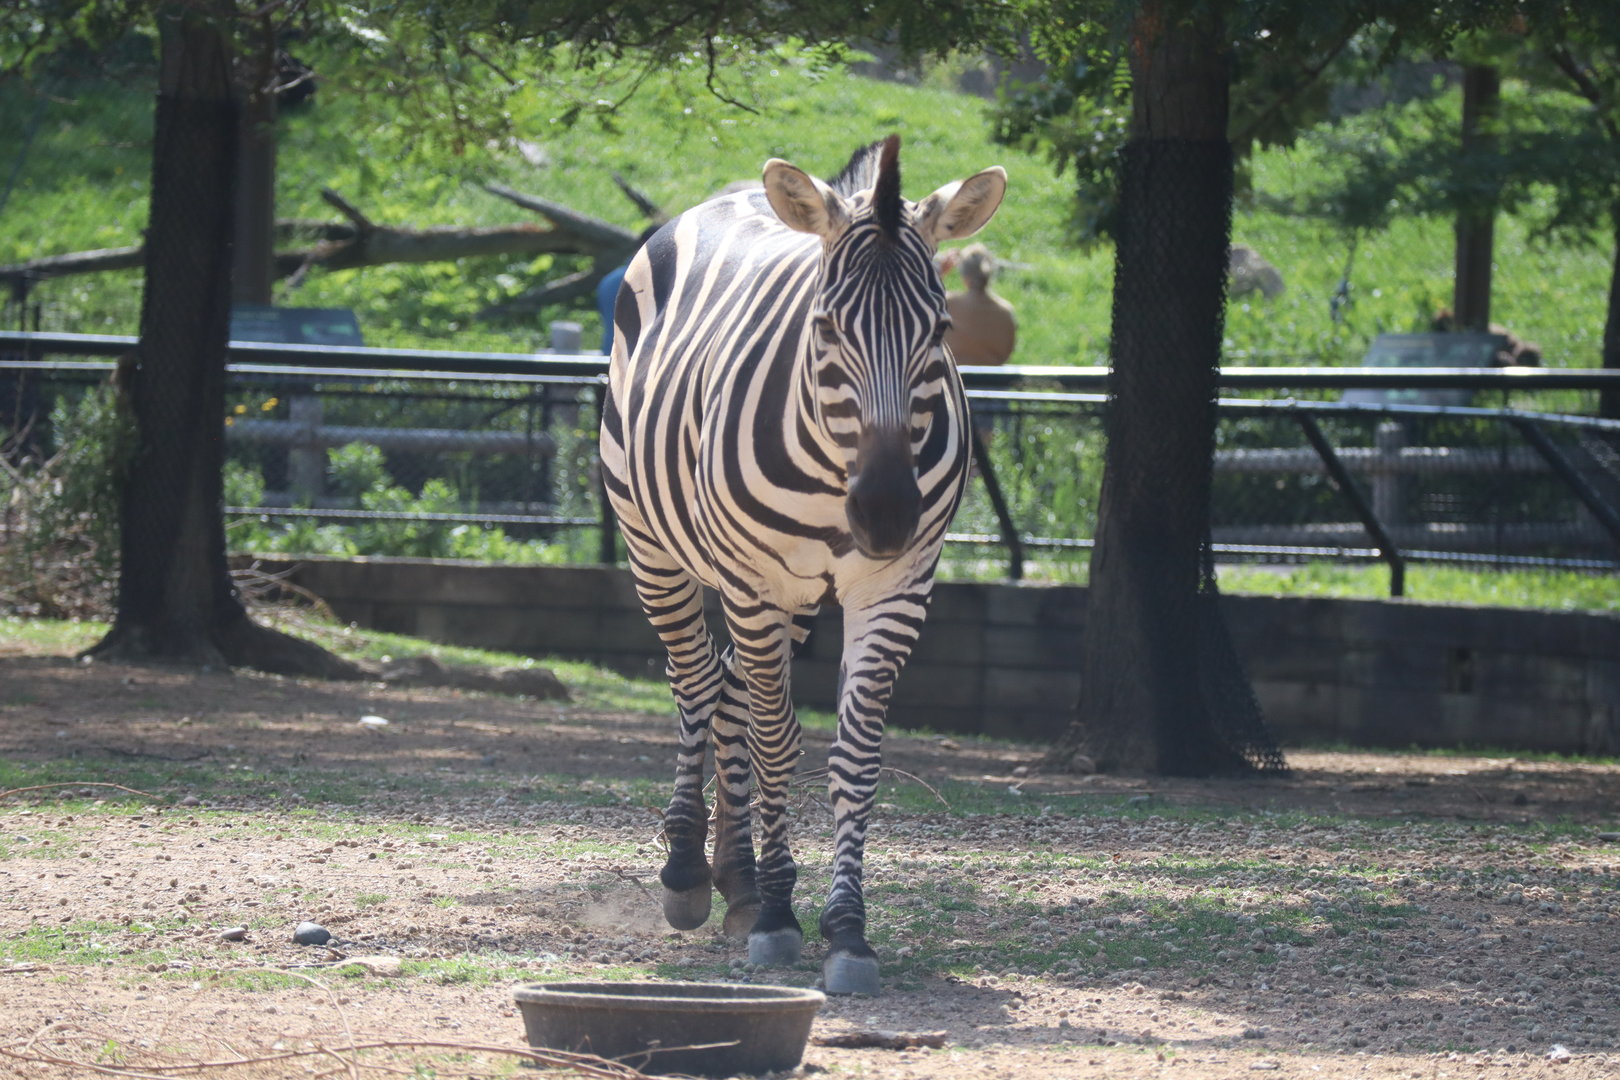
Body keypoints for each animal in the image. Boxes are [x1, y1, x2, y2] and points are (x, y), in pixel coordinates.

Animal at [599, 135, 1005, 995]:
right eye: (825, 326)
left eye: (941, 328)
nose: (885, 514)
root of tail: (726, 197)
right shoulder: (757, 581)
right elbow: (776, 741)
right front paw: (783, 917)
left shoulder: (896, 587)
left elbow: (855, 752)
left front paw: (847, 929)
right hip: (658, 550)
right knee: (694, 682)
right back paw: (690, 872)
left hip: (779, 596)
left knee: (725, 687)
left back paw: (738, 879)